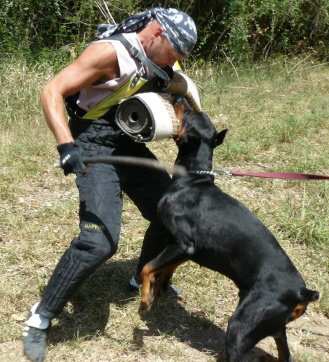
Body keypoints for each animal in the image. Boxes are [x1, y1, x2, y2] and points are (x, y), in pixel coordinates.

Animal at [138, 102, 318, 362]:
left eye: (188, 115)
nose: (180, 100)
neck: (191, 180)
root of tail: (301, 292)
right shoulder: (187, 250)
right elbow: (164, 269)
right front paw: (157, 292)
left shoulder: (183, 243)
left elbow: (148, 267)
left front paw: (144, 300)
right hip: (275, 329)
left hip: (240, 329)